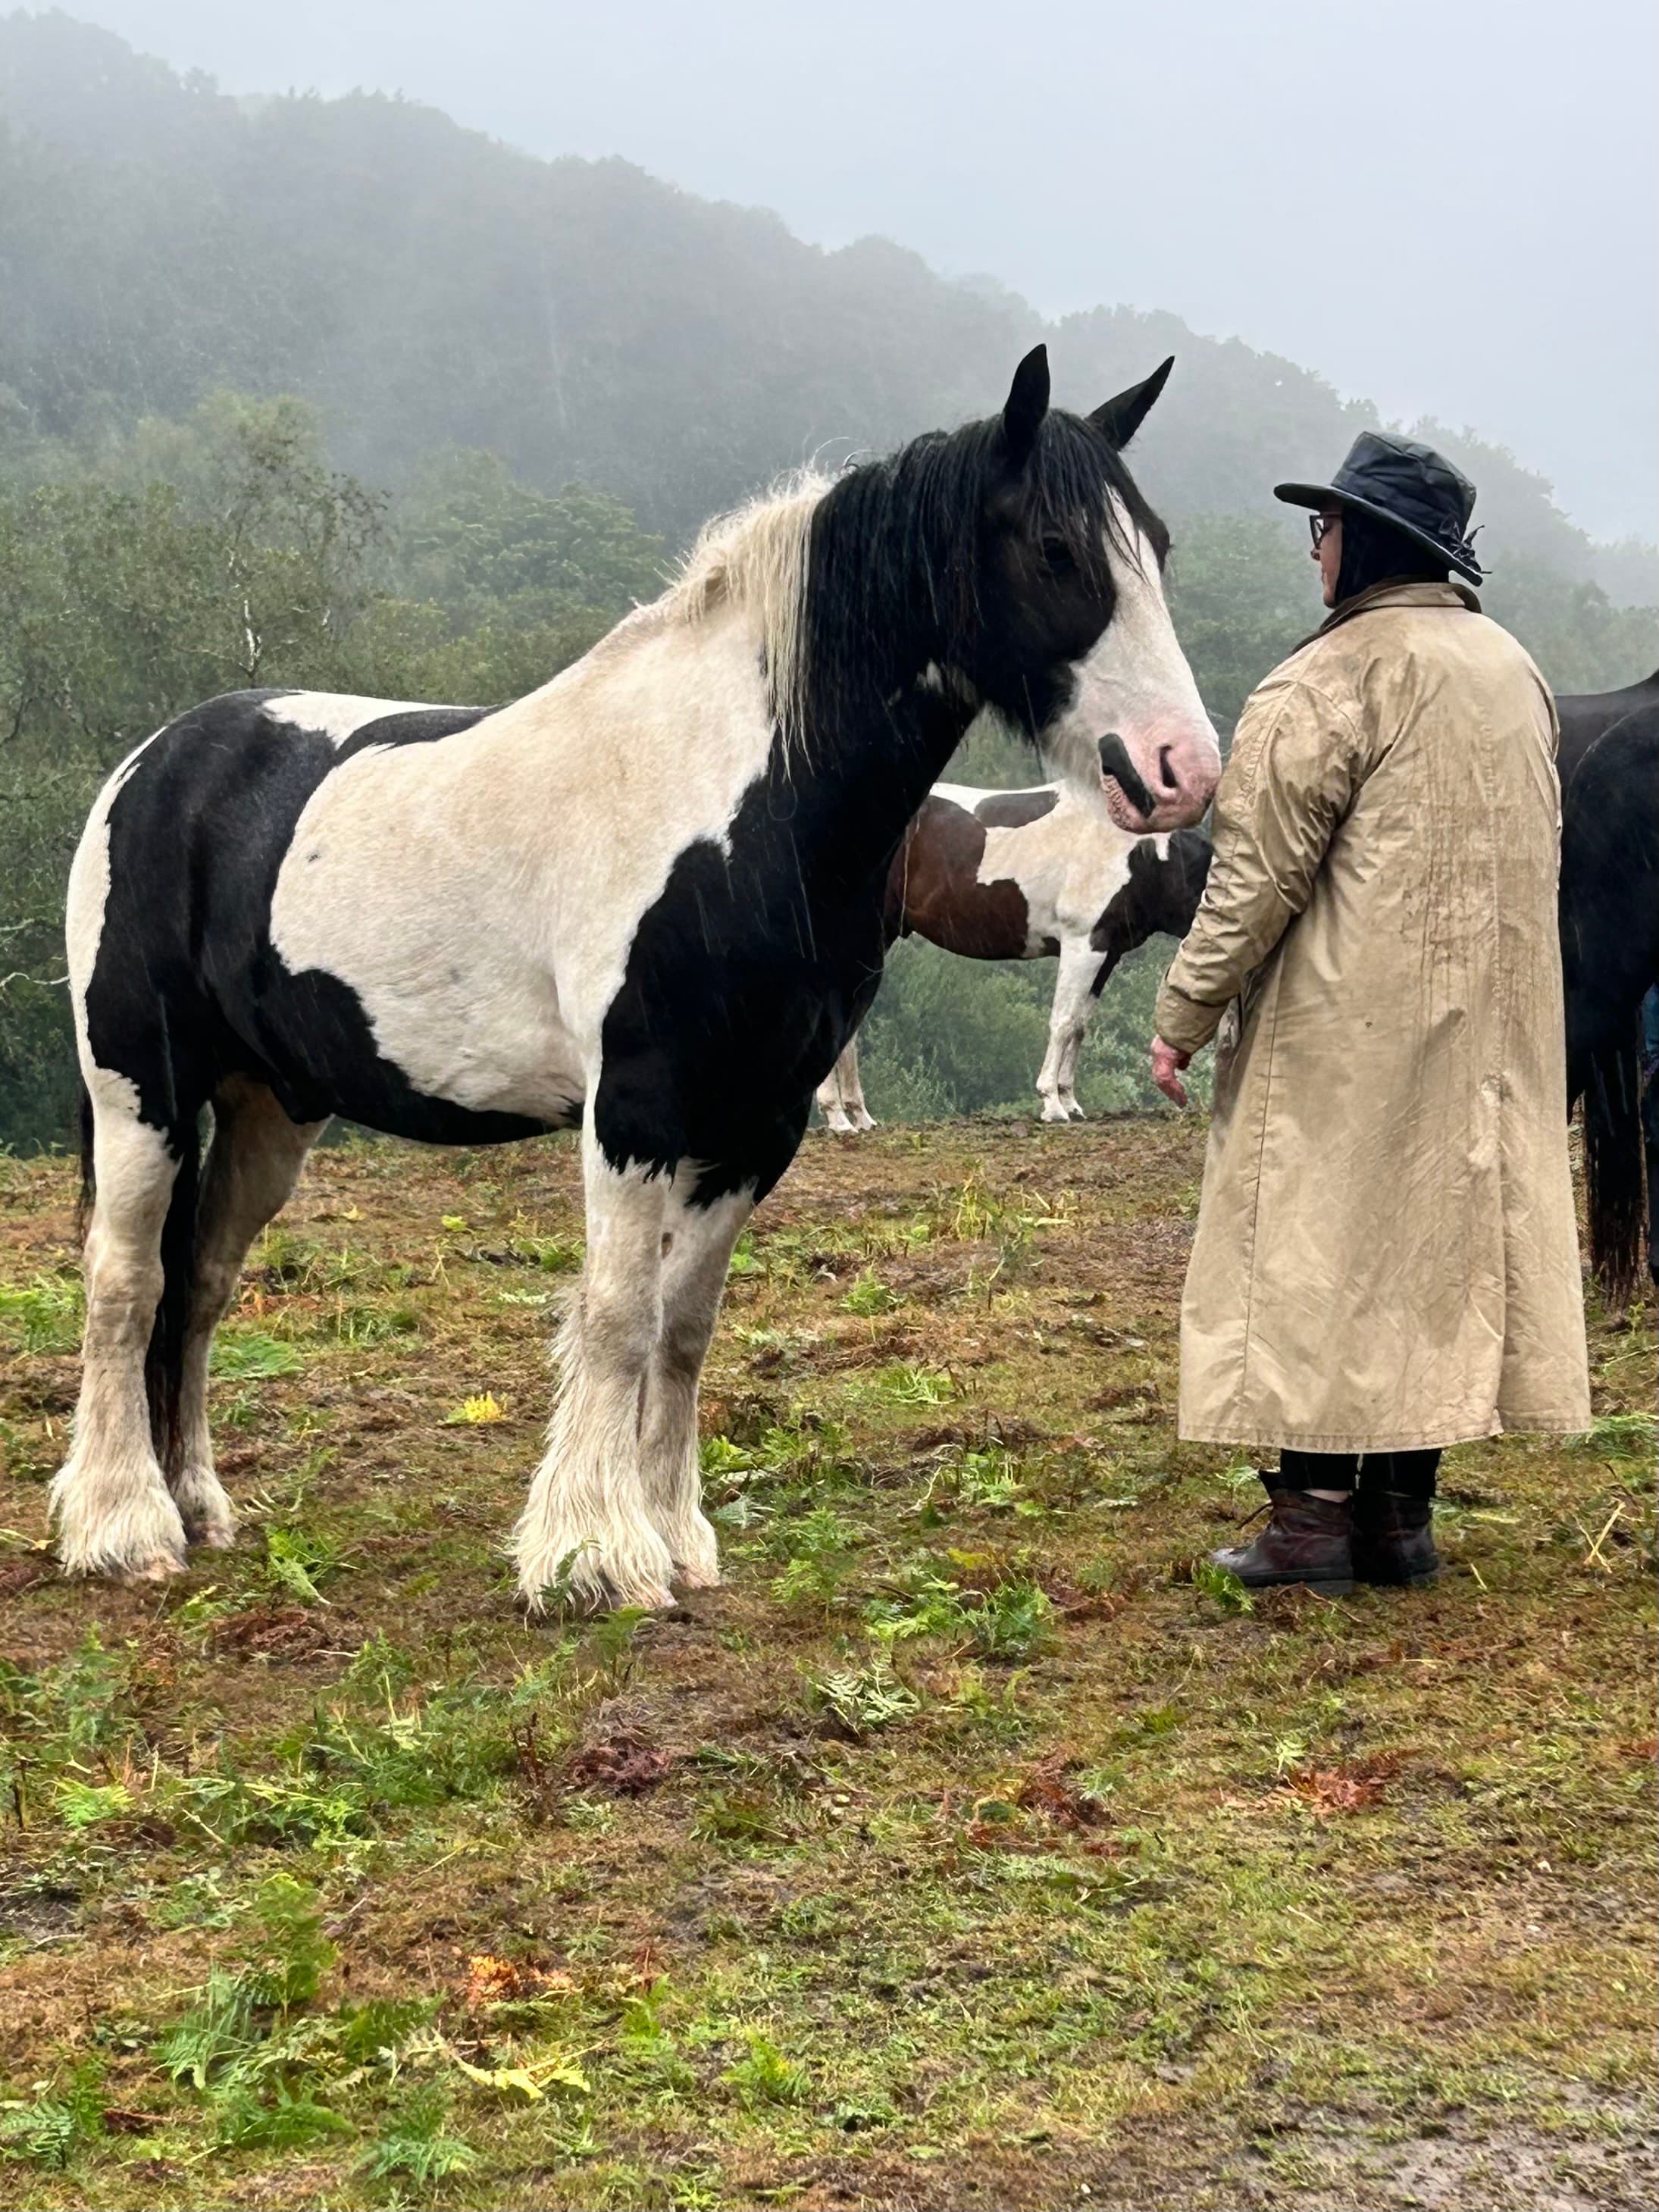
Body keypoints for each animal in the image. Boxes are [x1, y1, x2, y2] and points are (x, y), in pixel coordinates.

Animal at [815, 782, 1211, 1127]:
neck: (1140, 856)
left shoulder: (1106, 954)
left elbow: (1079, 1026)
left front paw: (1069, 1100)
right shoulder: (1082, 945)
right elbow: (1063, 1022)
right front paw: (1052, 1103)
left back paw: (858, 1116)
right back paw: (837, 1116)